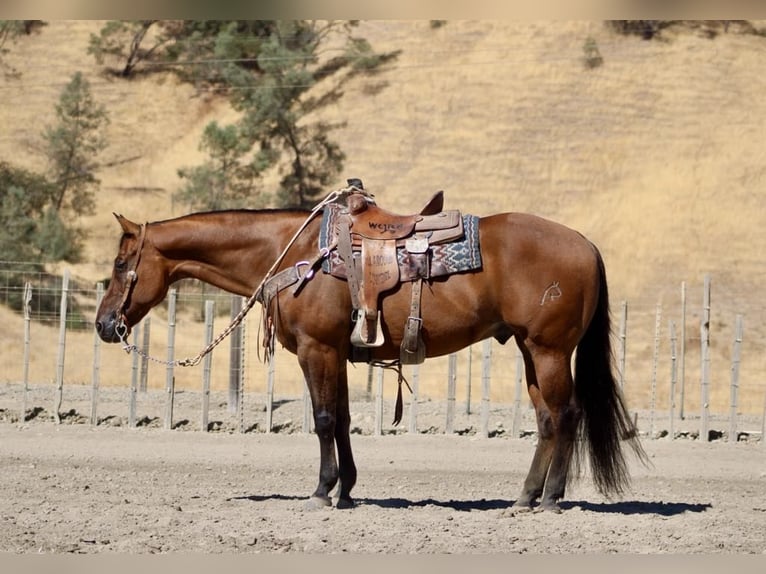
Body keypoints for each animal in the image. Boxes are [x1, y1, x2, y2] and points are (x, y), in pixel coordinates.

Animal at [95, 189, 646, 512]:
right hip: (532, 351)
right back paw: (526, 496)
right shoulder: (336, 353)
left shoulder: (316, 350)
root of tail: (585, 245)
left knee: (567, 414)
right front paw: (348, 489)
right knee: (547, 419)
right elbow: (339, 419)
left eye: (122, 265)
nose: (104, 325)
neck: (298, 254)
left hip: (549, 350)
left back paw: (550, 499)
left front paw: (322, 492)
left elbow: (321, 419)